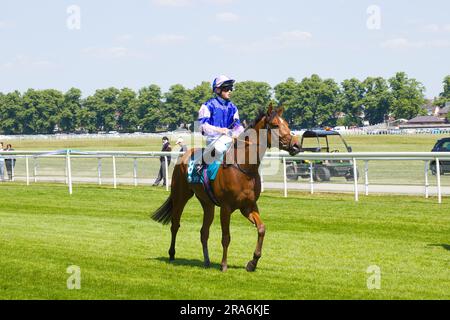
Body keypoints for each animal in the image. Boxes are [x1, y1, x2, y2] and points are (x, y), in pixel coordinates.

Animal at [150, 105, 298, 272]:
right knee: (175, 224)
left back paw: (206, 261)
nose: (296, 145)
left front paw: (252, 262)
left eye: (286, 123)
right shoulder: (226, 208)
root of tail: (184, 154)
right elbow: (226, 237)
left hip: (207, 203)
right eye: (275, 125)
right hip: (180, 196)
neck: (244, 168)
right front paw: (224, 264)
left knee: (204, 231)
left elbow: (261, 228)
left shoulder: (248, 206)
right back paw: (172, 254)